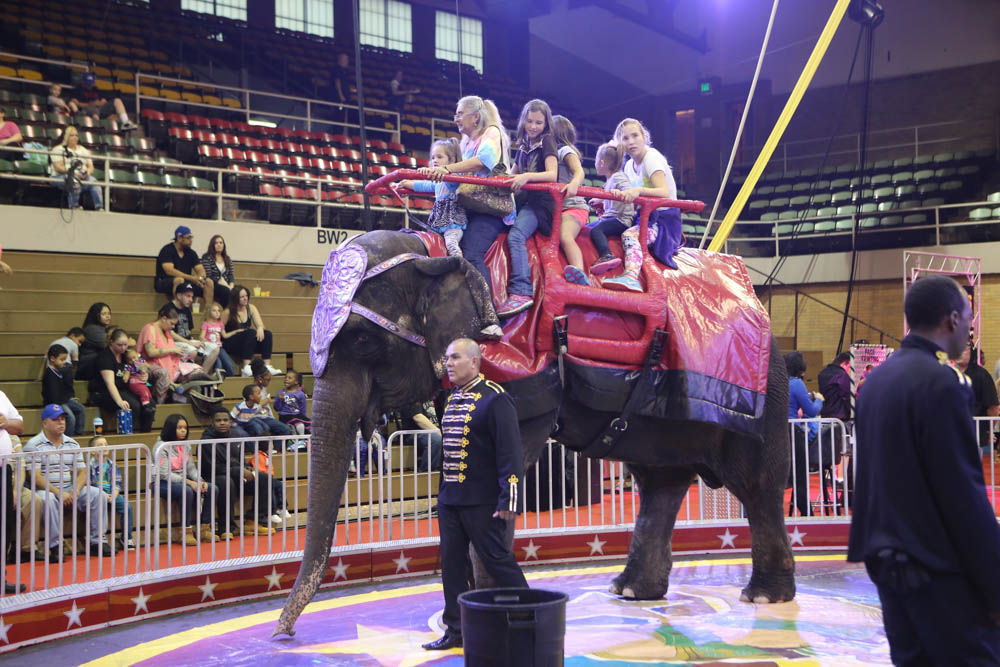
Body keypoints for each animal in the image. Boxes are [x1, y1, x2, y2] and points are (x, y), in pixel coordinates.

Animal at [272, 231, 788, 640]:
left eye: (362, 340)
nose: (284, 633)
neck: (434, 249)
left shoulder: (522, 373)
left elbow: (503, 478)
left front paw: (486, 616)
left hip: (763, 397)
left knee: (754, 483)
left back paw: (763, 597)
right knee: (660, 481)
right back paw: (630, 592)